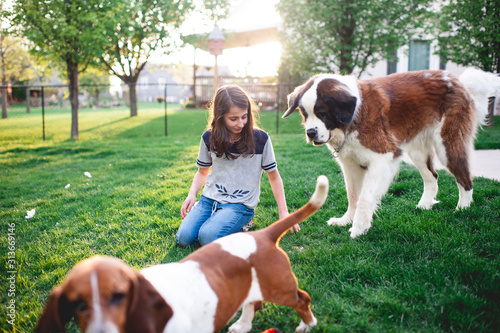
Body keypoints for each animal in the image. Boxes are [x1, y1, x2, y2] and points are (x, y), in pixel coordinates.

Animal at [37, 175, 330, 330]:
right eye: (78, 305)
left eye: (119, 297)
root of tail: (262, 235)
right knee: (253, 303)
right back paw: (242, 326)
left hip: (279, 287)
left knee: (302, 299)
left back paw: (307, 325)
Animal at [284, 68, 498, 237]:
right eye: (305, 114)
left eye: (322, 113)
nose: (311, 133)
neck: (353, 115)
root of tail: (457, 81)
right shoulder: (350, 164)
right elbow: (352, 195)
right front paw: (346, 220)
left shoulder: (383, 156)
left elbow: (364, 197)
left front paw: (358, 228)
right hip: (417, 152)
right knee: (432, 176)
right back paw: (424, 205)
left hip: (447, 145)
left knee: (465, 178)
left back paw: (462, 208)